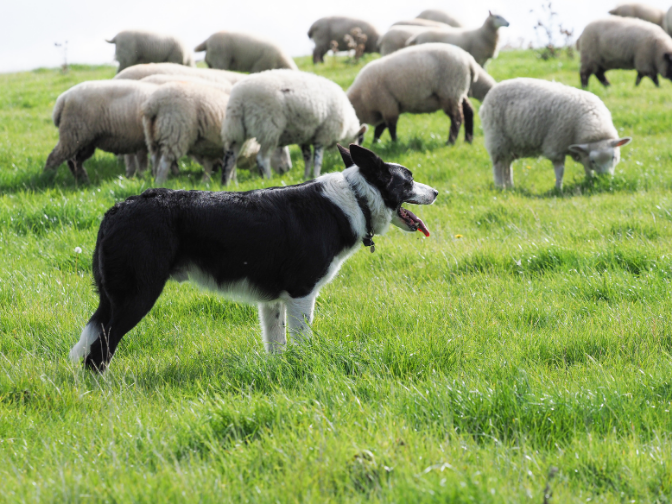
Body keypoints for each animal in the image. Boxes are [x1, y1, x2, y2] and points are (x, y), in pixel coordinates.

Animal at [140, 81, 290, 184]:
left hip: (152, 136)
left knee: (155, 159)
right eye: (280, 149)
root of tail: (153, 104)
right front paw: (234, 183)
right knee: (165, 162)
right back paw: (161, 182)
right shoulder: (235, 144)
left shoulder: (209, 149)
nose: (288, 169)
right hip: (175, 131)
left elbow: (209, 166)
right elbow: (232, 166)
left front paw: (205, 182)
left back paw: (154, 180)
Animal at [220, 68, 368, 184]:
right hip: (268, 127)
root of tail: (238, 99)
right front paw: (316, 174)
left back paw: (226, 184)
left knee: (230, 159)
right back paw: (267, 179)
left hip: (236, 131)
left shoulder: (305, 138)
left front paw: (306, 176)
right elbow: (317, 160)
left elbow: (307, 158)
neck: (348, 128)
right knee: (262, 158)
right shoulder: (323, 135)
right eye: (360, 140)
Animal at [346, 43, 478, 144]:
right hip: (458, 92)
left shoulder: (387, 105)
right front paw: (375, 143)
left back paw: (450, 142)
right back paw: (468, 139)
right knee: (469, 111)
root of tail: (469, 61)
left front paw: (394, 143)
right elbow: (380, 128)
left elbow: (390, 127)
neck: (361, 101)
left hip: (450, 92)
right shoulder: (387, 107)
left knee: (457, 119)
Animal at [480, 78, 632, 190]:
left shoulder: (581, 149)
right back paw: (500, 187)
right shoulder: (556, 146)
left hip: (511, 144)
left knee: (507, 164)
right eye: (594, 160)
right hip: (497, 139)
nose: (605, 178)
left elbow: (586, 167)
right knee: (498, 165)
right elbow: (560, 171)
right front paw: (558, 189)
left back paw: (510, 186)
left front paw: (590, 180)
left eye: (613, 157)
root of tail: (493, 89)